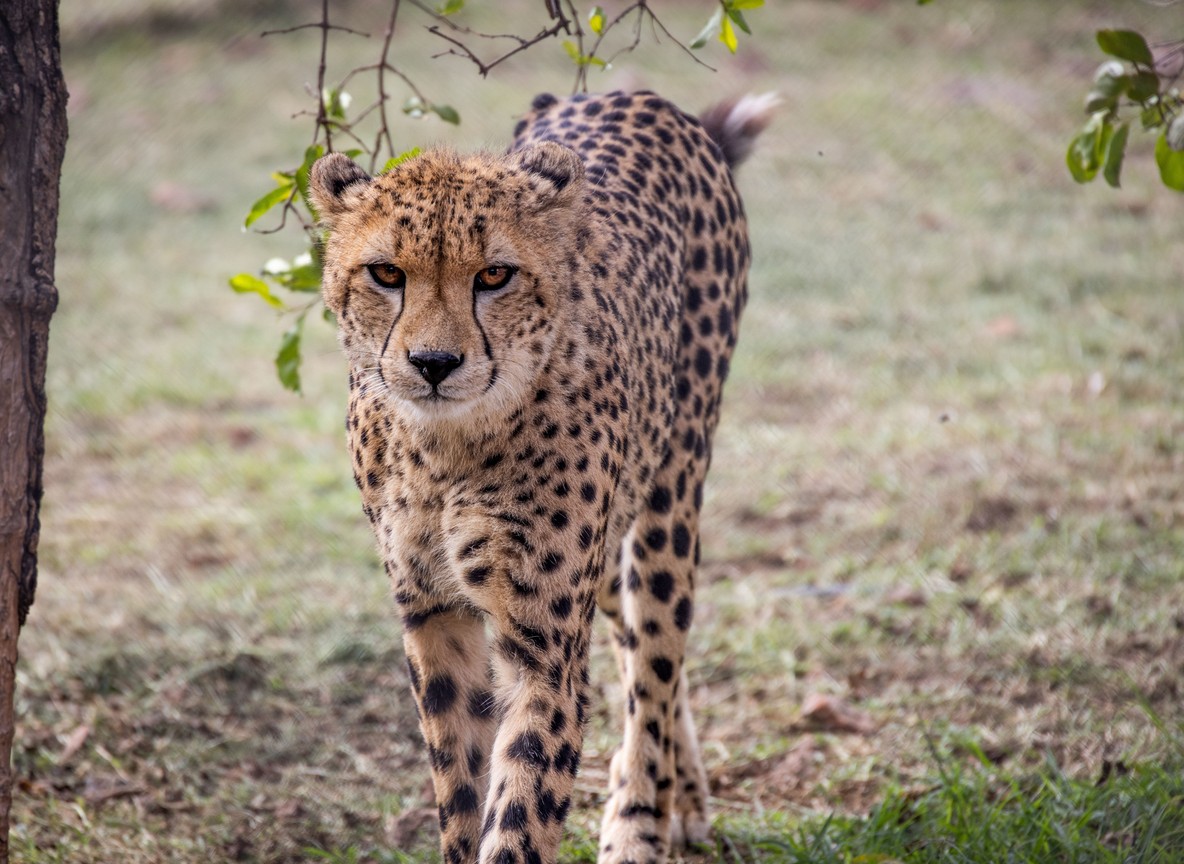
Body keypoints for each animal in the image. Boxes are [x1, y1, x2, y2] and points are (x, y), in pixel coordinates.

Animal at [309, 88, 774, 864]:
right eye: (386, 274)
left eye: (494, 275)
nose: (434, 364)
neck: (447, 451)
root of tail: (634, 95)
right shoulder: (431, 615)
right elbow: (460, 793)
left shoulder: (542, 649)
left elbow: (520, 811)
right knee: (637, 647)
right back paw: (682, 793)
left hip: (670, 490)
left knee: (657, 653)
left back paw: (639, 819)